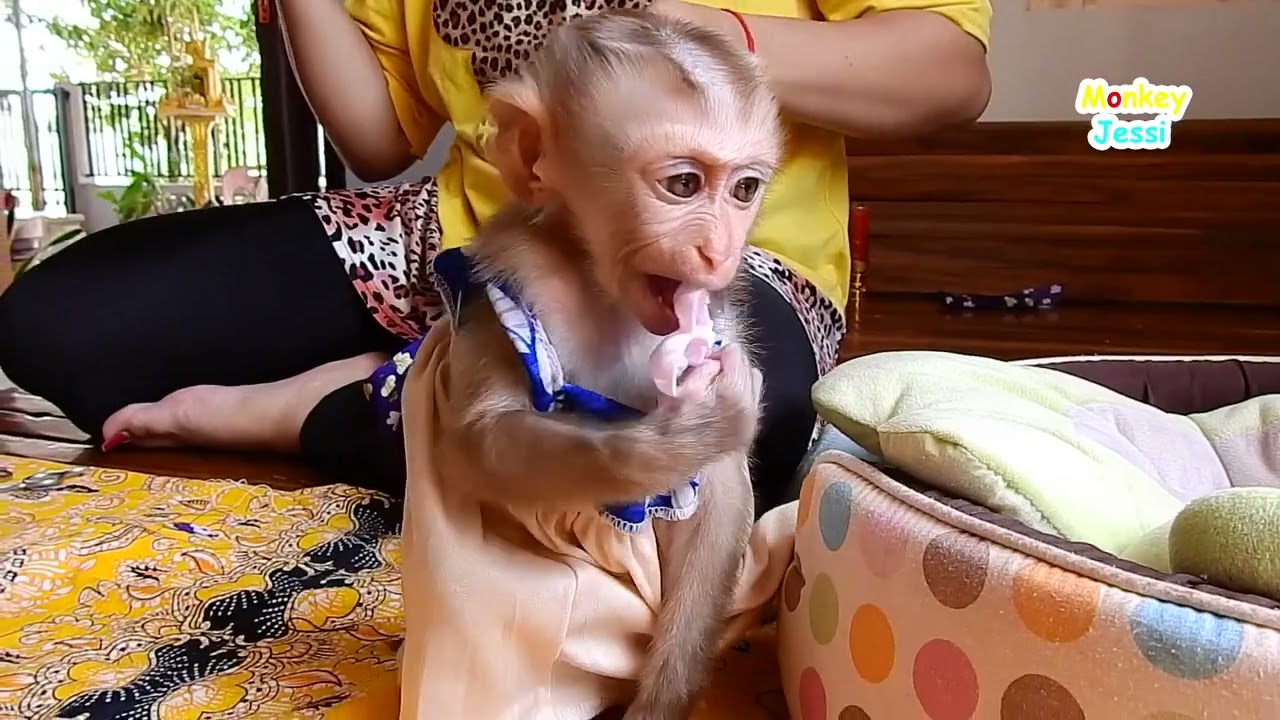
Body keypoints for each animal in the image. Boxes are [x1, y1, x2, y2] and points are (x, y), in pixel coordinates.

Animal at [402, 9, 785, 720]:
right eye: (683, 185)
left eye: (745, 189)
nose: (718, 251)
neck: (597, 279)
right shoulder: (514, 283)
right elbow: (483, 440)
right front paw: (680, 437)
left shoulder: (718, 320)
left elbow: (719, 496)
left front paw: (661, 702)